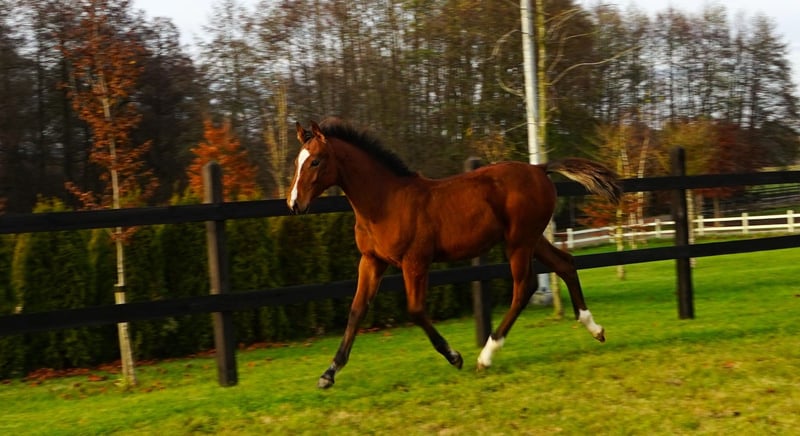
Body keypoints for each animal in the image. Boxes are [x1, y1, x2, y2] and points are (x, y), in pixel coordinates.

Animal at [288, 119, 621, 389]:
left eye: (315, 162)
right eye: (297, 161)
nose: (294, 204)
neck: (385, 203)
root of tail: (539, 168)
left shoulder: (415, 262)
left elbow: (415, 310)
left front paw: (455, 356)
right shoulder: (372, 261)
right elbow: (357, 310)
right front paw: (328, 374)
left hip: (519, 243)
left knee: (523, 288)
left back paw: (486, 356)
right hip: (532, 239)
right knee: (565, 264)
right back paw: (595, 329)